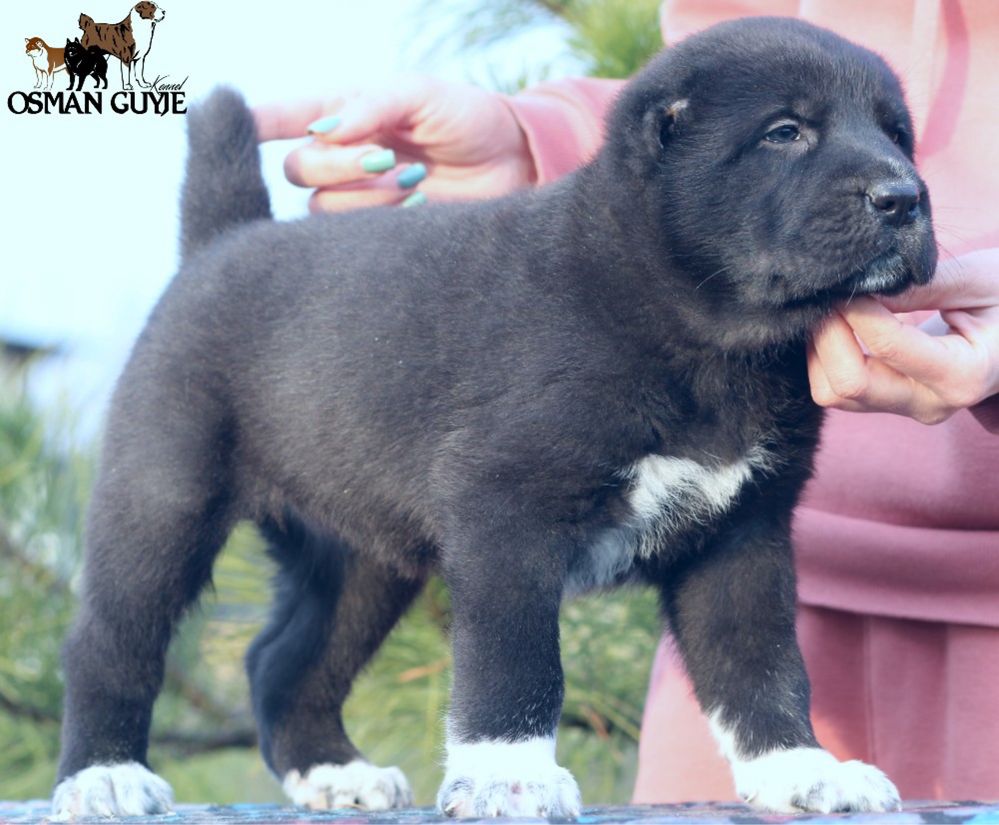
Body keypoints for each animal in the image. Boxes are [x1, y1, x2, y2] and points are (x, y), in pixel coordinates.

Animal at [52, 14, 936, 816]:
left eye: (898, 135)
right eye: (785, 131)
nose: (904, 197)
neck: (700, 331)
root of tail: (221, 241)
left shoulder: (742, 531)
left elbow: (759, 661)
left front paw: (799, 770)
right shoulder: (507, 514)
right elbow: (517, 661)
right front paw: (513, 776)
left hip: (360, 553)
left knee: (283, 661)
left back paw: (334, 773)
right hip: (163, 494)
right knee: (110, 642)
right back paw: (104, 775)